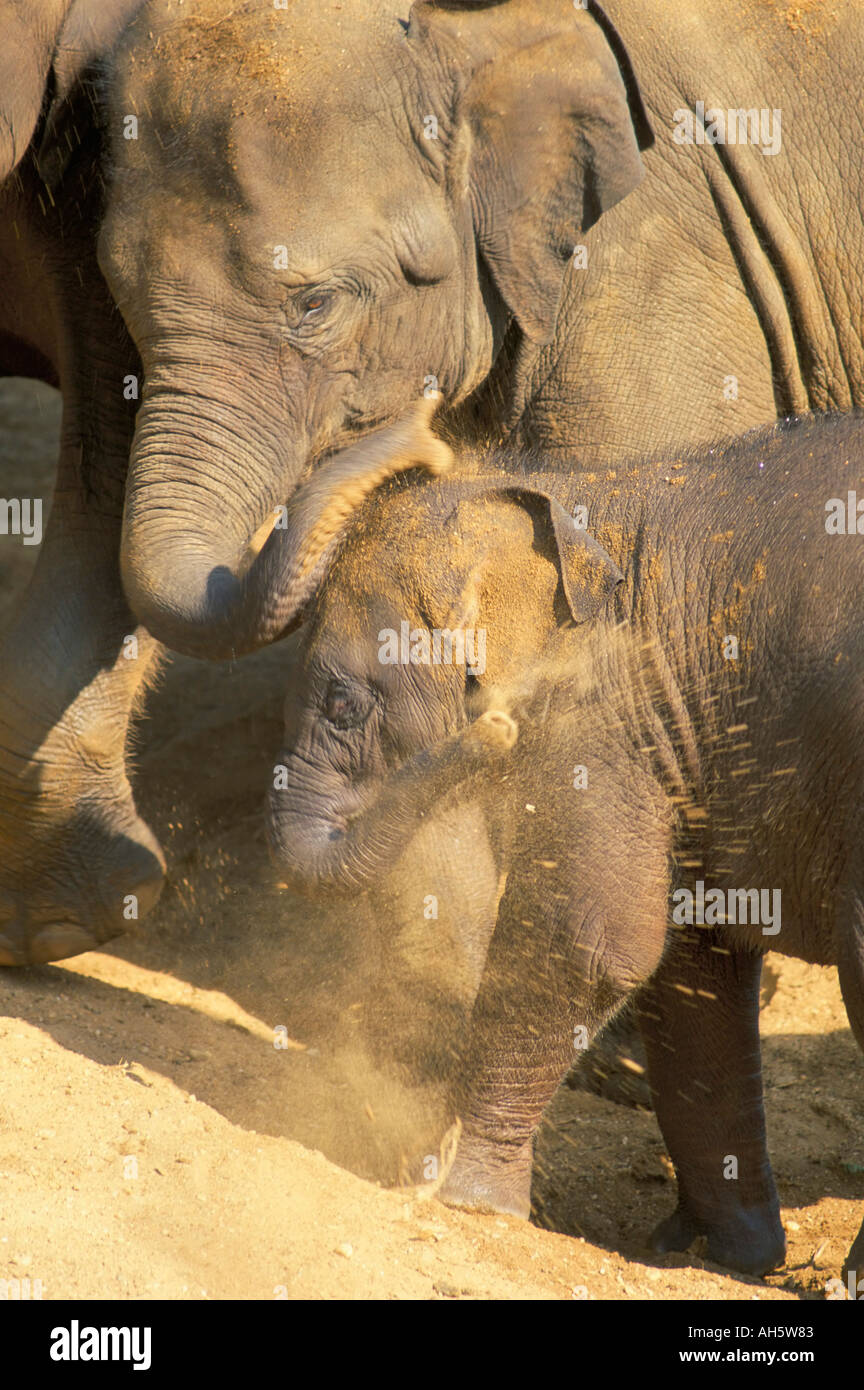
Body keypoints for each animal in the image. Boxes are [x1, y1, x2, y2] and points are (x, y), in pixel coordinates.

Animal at [265, 406, 864, 1281]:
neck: (588, 500)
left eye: (343, 705)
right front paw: (714, 1253)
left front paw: (463, 1198)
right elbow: (691, 967)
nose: (494, 729)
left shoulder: (603, 718)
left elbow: (590, 939)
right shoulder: (674, 743)